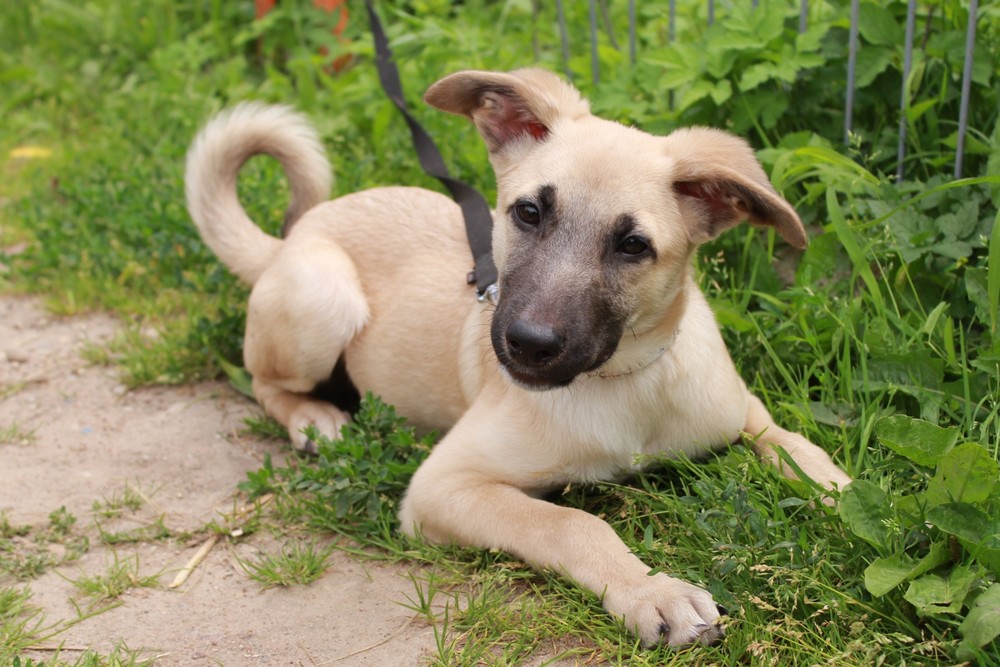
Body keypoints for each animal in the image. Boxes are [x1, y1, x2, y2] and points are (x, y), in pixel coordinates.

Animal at [186, 68, 852, 648]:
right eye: (529, 212)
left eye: (633, 245)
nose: (526, 344)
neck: (622, 382)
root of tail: (287, 241)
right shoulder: (443, 486)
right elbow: (571, 523)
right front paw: (651, 591)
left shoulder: (740, 409)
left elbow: (795, 445)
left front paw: (845, 495)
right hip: (323, 295)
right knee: (266, 383)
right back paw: (314, 420)